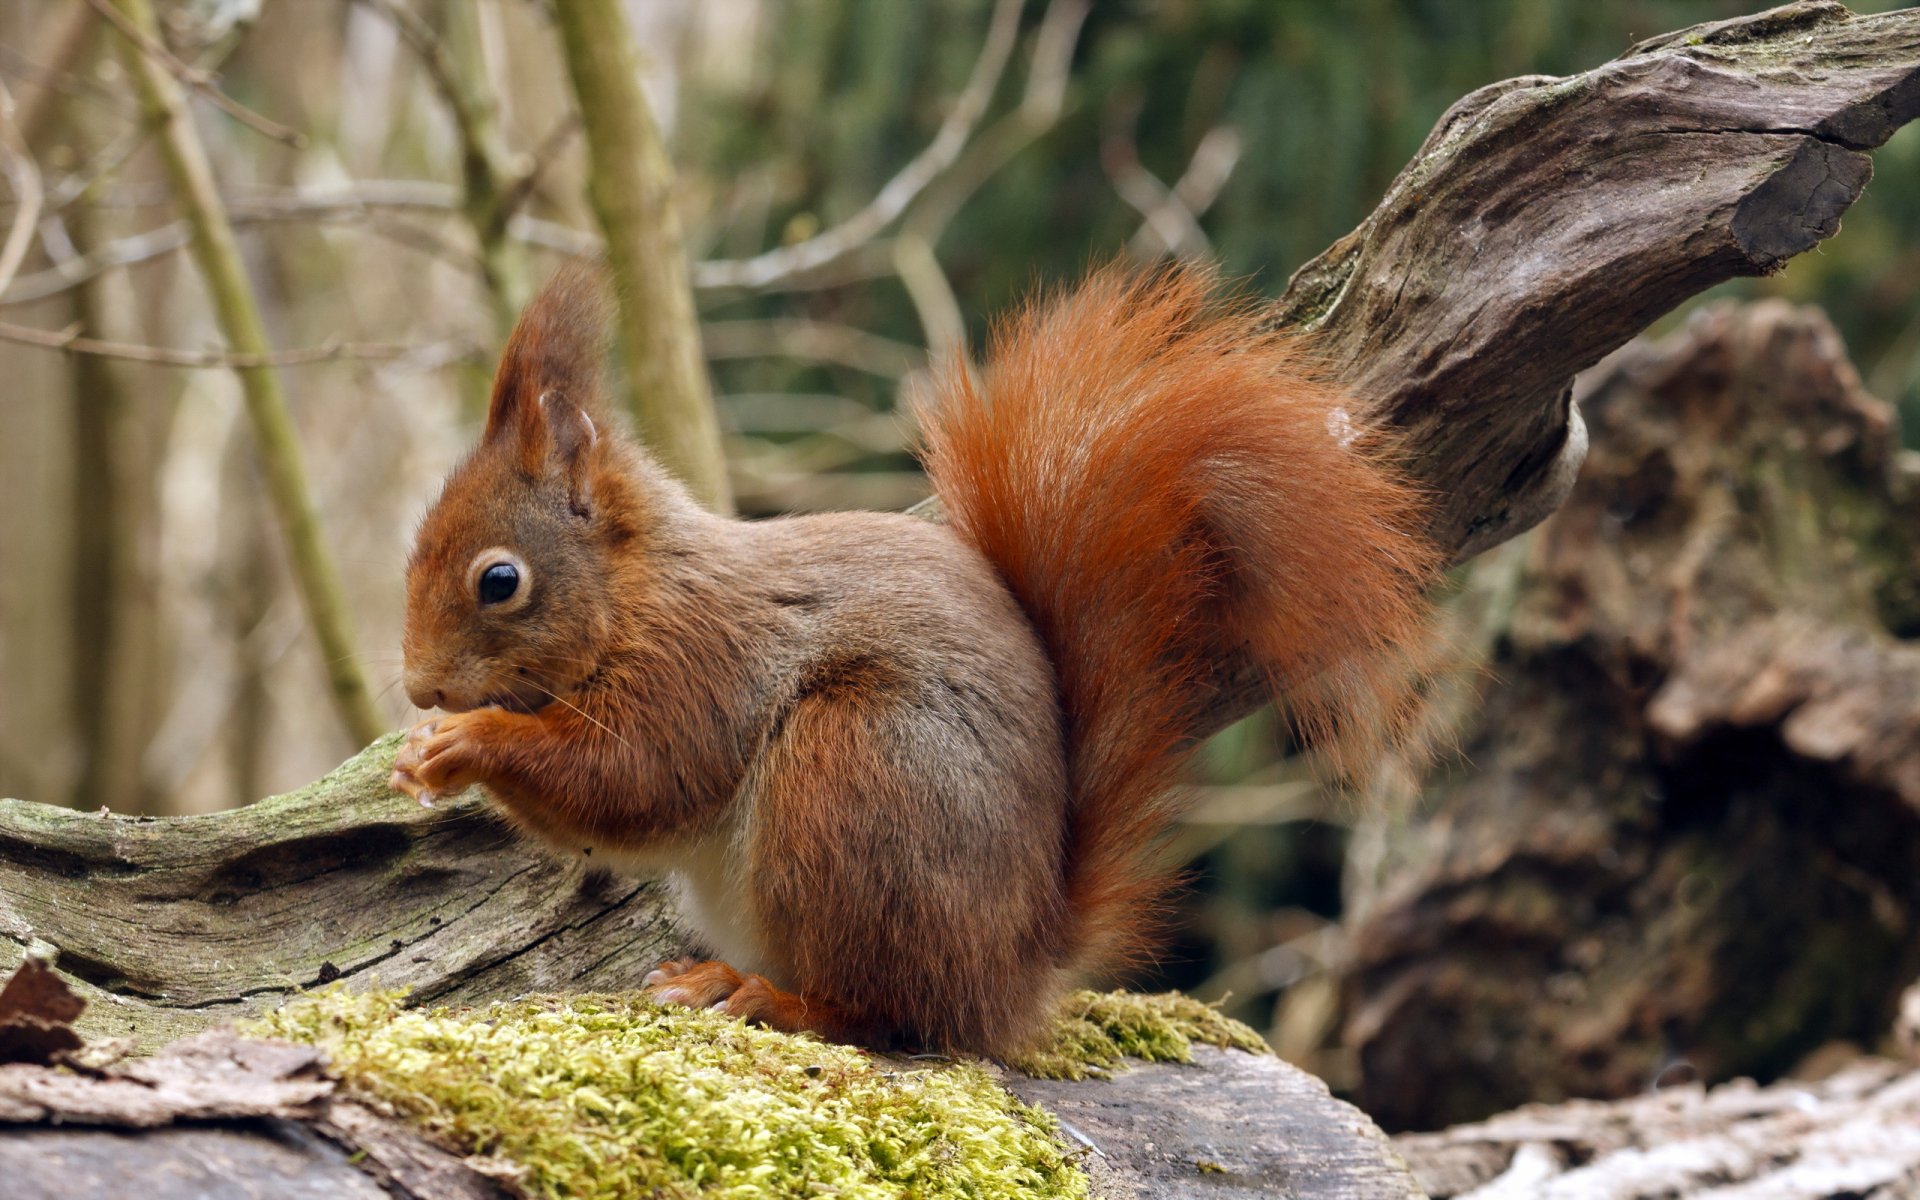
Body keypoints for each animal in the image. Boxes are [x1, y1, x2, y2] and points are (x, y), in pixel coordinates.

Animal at [389, 262, 1441, 1056]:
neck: (637, 593)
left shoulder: (702, 664)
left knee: (888, 1015)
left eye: (499, 580)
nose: (419, 685)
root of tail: (1013, 970)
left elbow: (631, 777)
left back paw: (767, 998)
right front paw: (418, 752)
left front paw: (464, 742)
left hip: (855, 771)